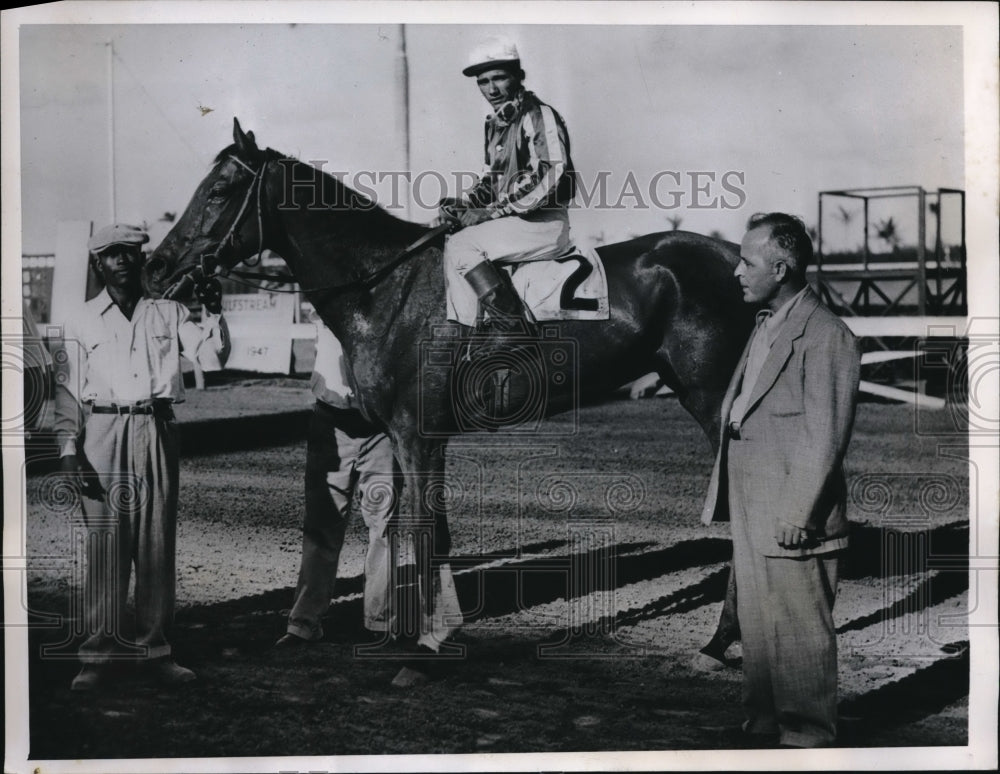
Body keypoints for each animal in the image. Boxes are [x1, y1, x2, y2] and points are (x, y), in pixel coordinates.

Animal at [143, 118, 752, 676]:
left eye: (219, 190)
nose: (156, 266)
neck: (384, 288)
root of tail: (739, 259)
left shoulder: (417, 433)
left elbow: (421, 530)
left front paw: (422, 646)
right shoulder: (406, 435)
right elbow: (419, 529)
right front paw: (414, 633)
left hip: (714, 400)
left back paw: (718, 643)